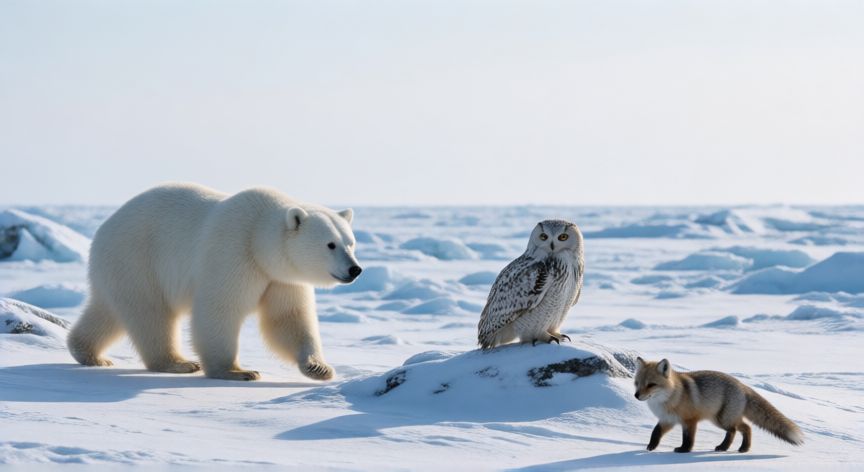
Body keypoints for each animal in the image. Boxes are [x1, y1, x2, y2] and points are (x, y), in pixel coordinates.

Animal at [67, 183, 362, 381]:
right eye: (330, 244)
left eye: (351, 243)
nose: (355, 269)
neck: (258, 238)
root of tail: (103, 229)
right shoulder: (233, 254)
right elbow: (220, 309)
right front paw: (237, 371)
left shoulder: (280, 277)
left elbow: (288, 318)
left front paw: (319, 367)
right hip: (138, 260)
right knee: (151, 315)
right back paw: (179, 363)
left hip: (119, 270)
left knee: (107, 311)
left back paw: (89, 353)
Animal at [633, 357, 804, 453]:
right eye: (637, 383)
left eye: (651, 385)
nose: (636, 396)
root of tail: (742, 385)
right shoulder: (667, 420)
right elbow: (655, 432)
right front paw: (651, 447)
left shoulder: (690, 420)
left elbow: (689, 439)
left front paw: (684, 450)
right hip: (724, 419)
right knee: (746, 427)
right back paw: (743, 448)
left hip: (722, 420)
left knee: (735, 430)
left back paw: (725, 447)